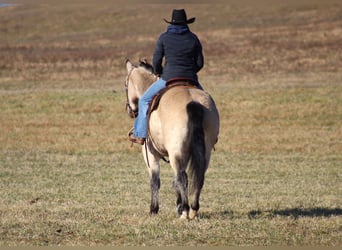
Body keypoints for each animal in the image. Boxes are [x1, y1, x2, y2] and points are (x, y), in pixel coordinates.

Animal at [125, 58, 219, 219]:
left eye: (126, 85)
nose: (130, 110)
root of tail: (193, 102)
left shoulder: (150, 153)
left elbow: (155, 181)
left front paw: (154, 209)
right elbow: (175, 181)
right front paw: (178, 205)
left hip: (175, 151)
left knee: (183, 178)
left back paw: (186, 211)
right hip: (204, 152)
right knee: (198, 177)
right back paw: (193, 210)